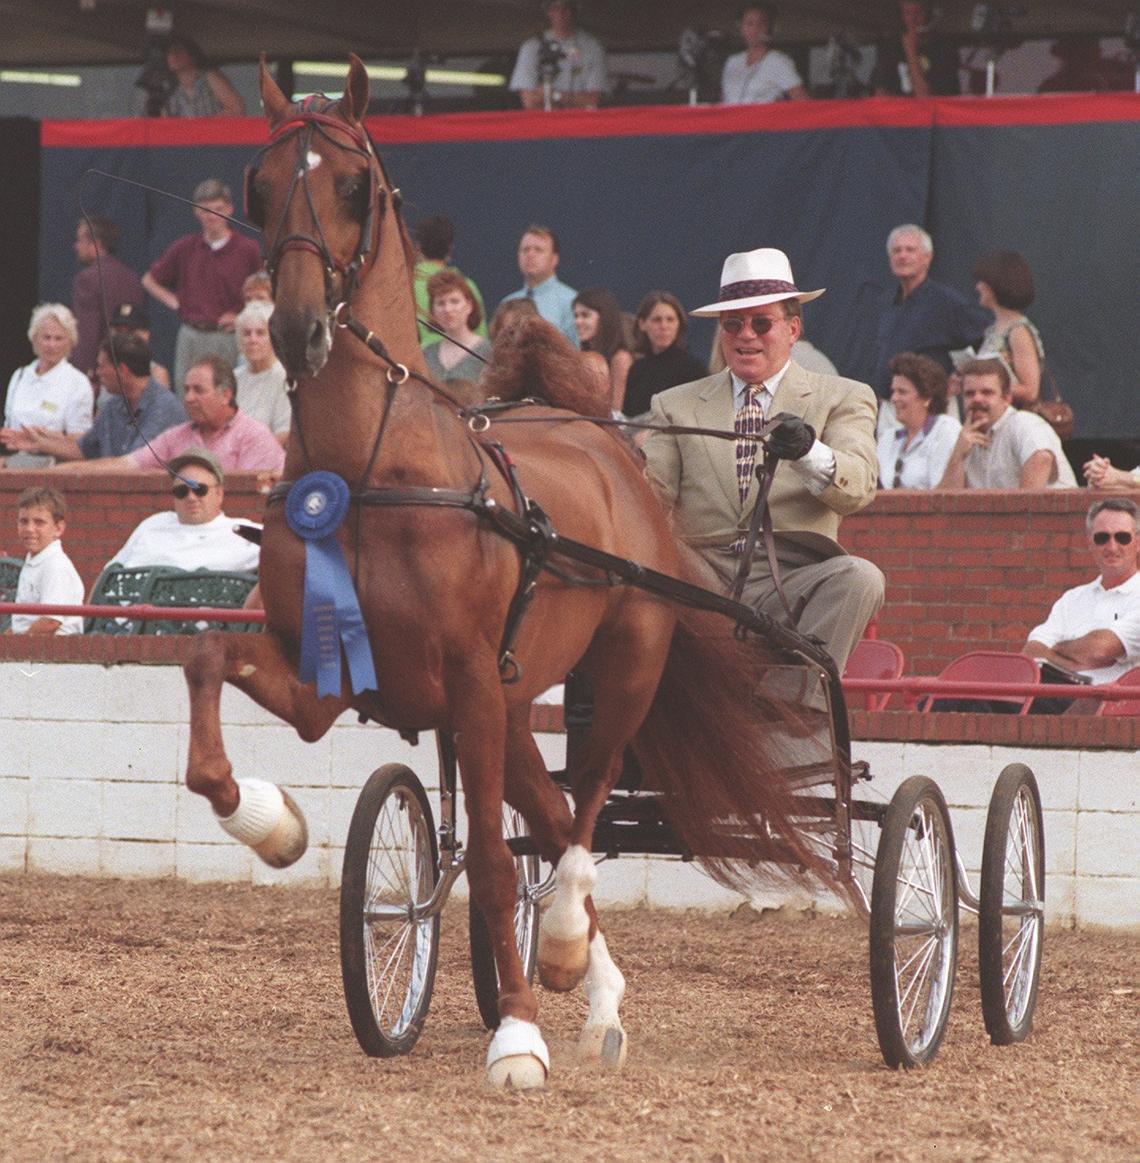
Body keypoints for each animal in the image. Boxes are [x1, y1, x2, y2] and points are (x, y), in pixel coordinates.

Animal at [183, 55, 824, 1089]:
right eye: (258, 187)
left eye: (355, 186)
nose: (297, 329)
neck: (376, 472)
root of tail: (600, 437)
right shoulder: (331, 676)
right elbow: (205, 669)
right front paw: (271, 824)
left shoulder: (471, 684)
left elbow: (488, 862)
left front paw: (518, 1036)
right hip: (517, 709)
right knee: (556, 813)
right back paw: (591, 984)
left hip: (620, 666)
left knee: (585, 810)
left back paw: (560, 949)